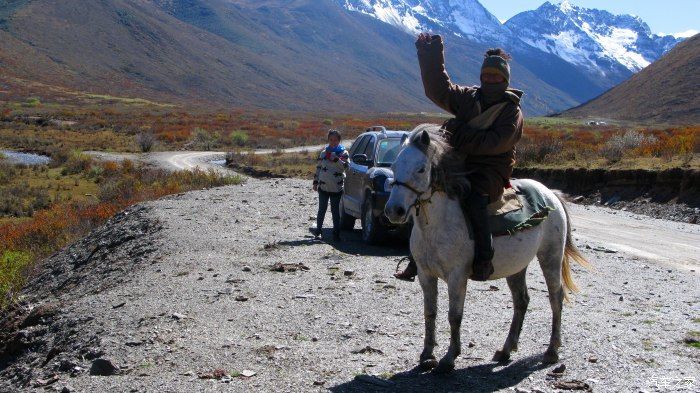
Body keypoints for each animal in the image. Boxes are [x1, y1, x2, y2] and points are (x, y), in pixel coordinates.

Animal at [386, 125, 588, 374]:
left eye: (421, 169)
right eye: (394, 165)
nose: (394, 210)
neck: (437, 225)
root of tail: (551, 195)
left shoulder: (457, 276)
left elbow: (454, 316)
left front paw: (449, 358)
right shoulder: (425, 275)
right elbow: (430, 312)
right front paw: (427, 355)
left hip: (550, 257)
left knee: (555, 297)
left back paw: (551, 351)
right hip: (517, 267)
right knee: (522, 301)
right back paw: (506, 350)